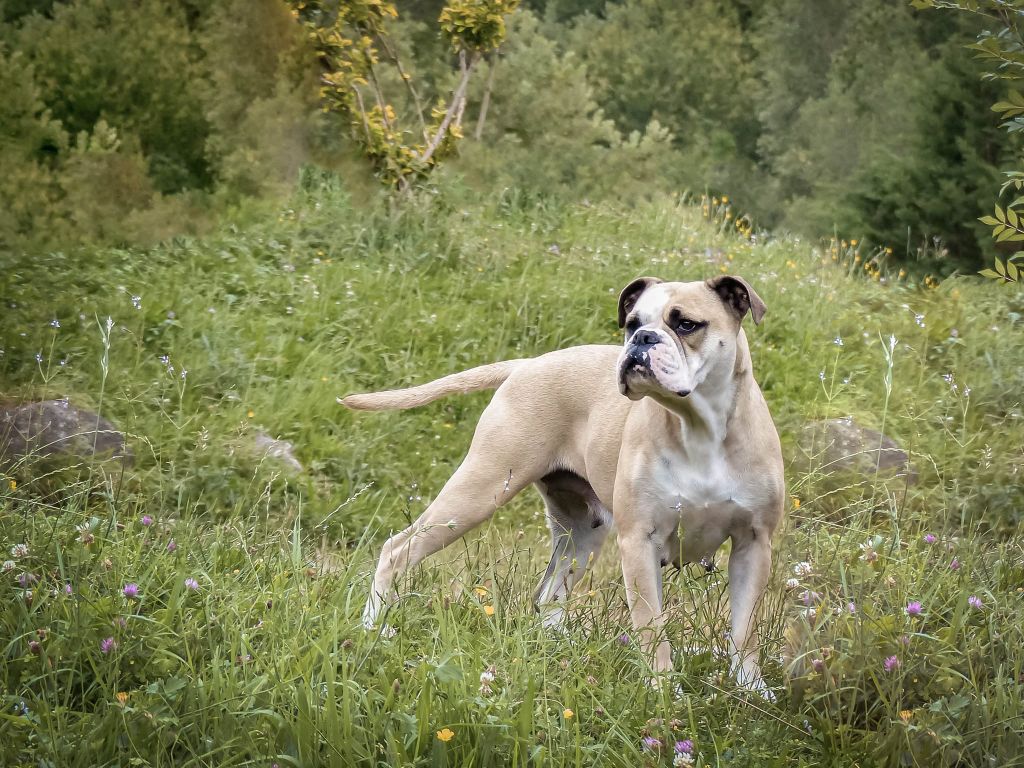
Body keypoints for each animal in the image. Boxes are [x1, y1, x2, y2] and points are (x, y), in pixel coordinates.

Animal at [344, 276, 782, 696]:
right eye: (632, 323)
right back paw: (373, 626)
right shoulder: (640, 541)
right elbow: (652, 627)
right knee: (397, 549)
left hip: (581, 533)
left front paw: (751, 691)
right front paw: (660, 689)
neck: (698, 425)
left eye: (686, 324)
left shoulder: (753, 544)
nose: (642, 339)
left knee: (548, 595)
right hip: (479, 490)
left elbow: (746, 630)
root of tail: (529, 363)